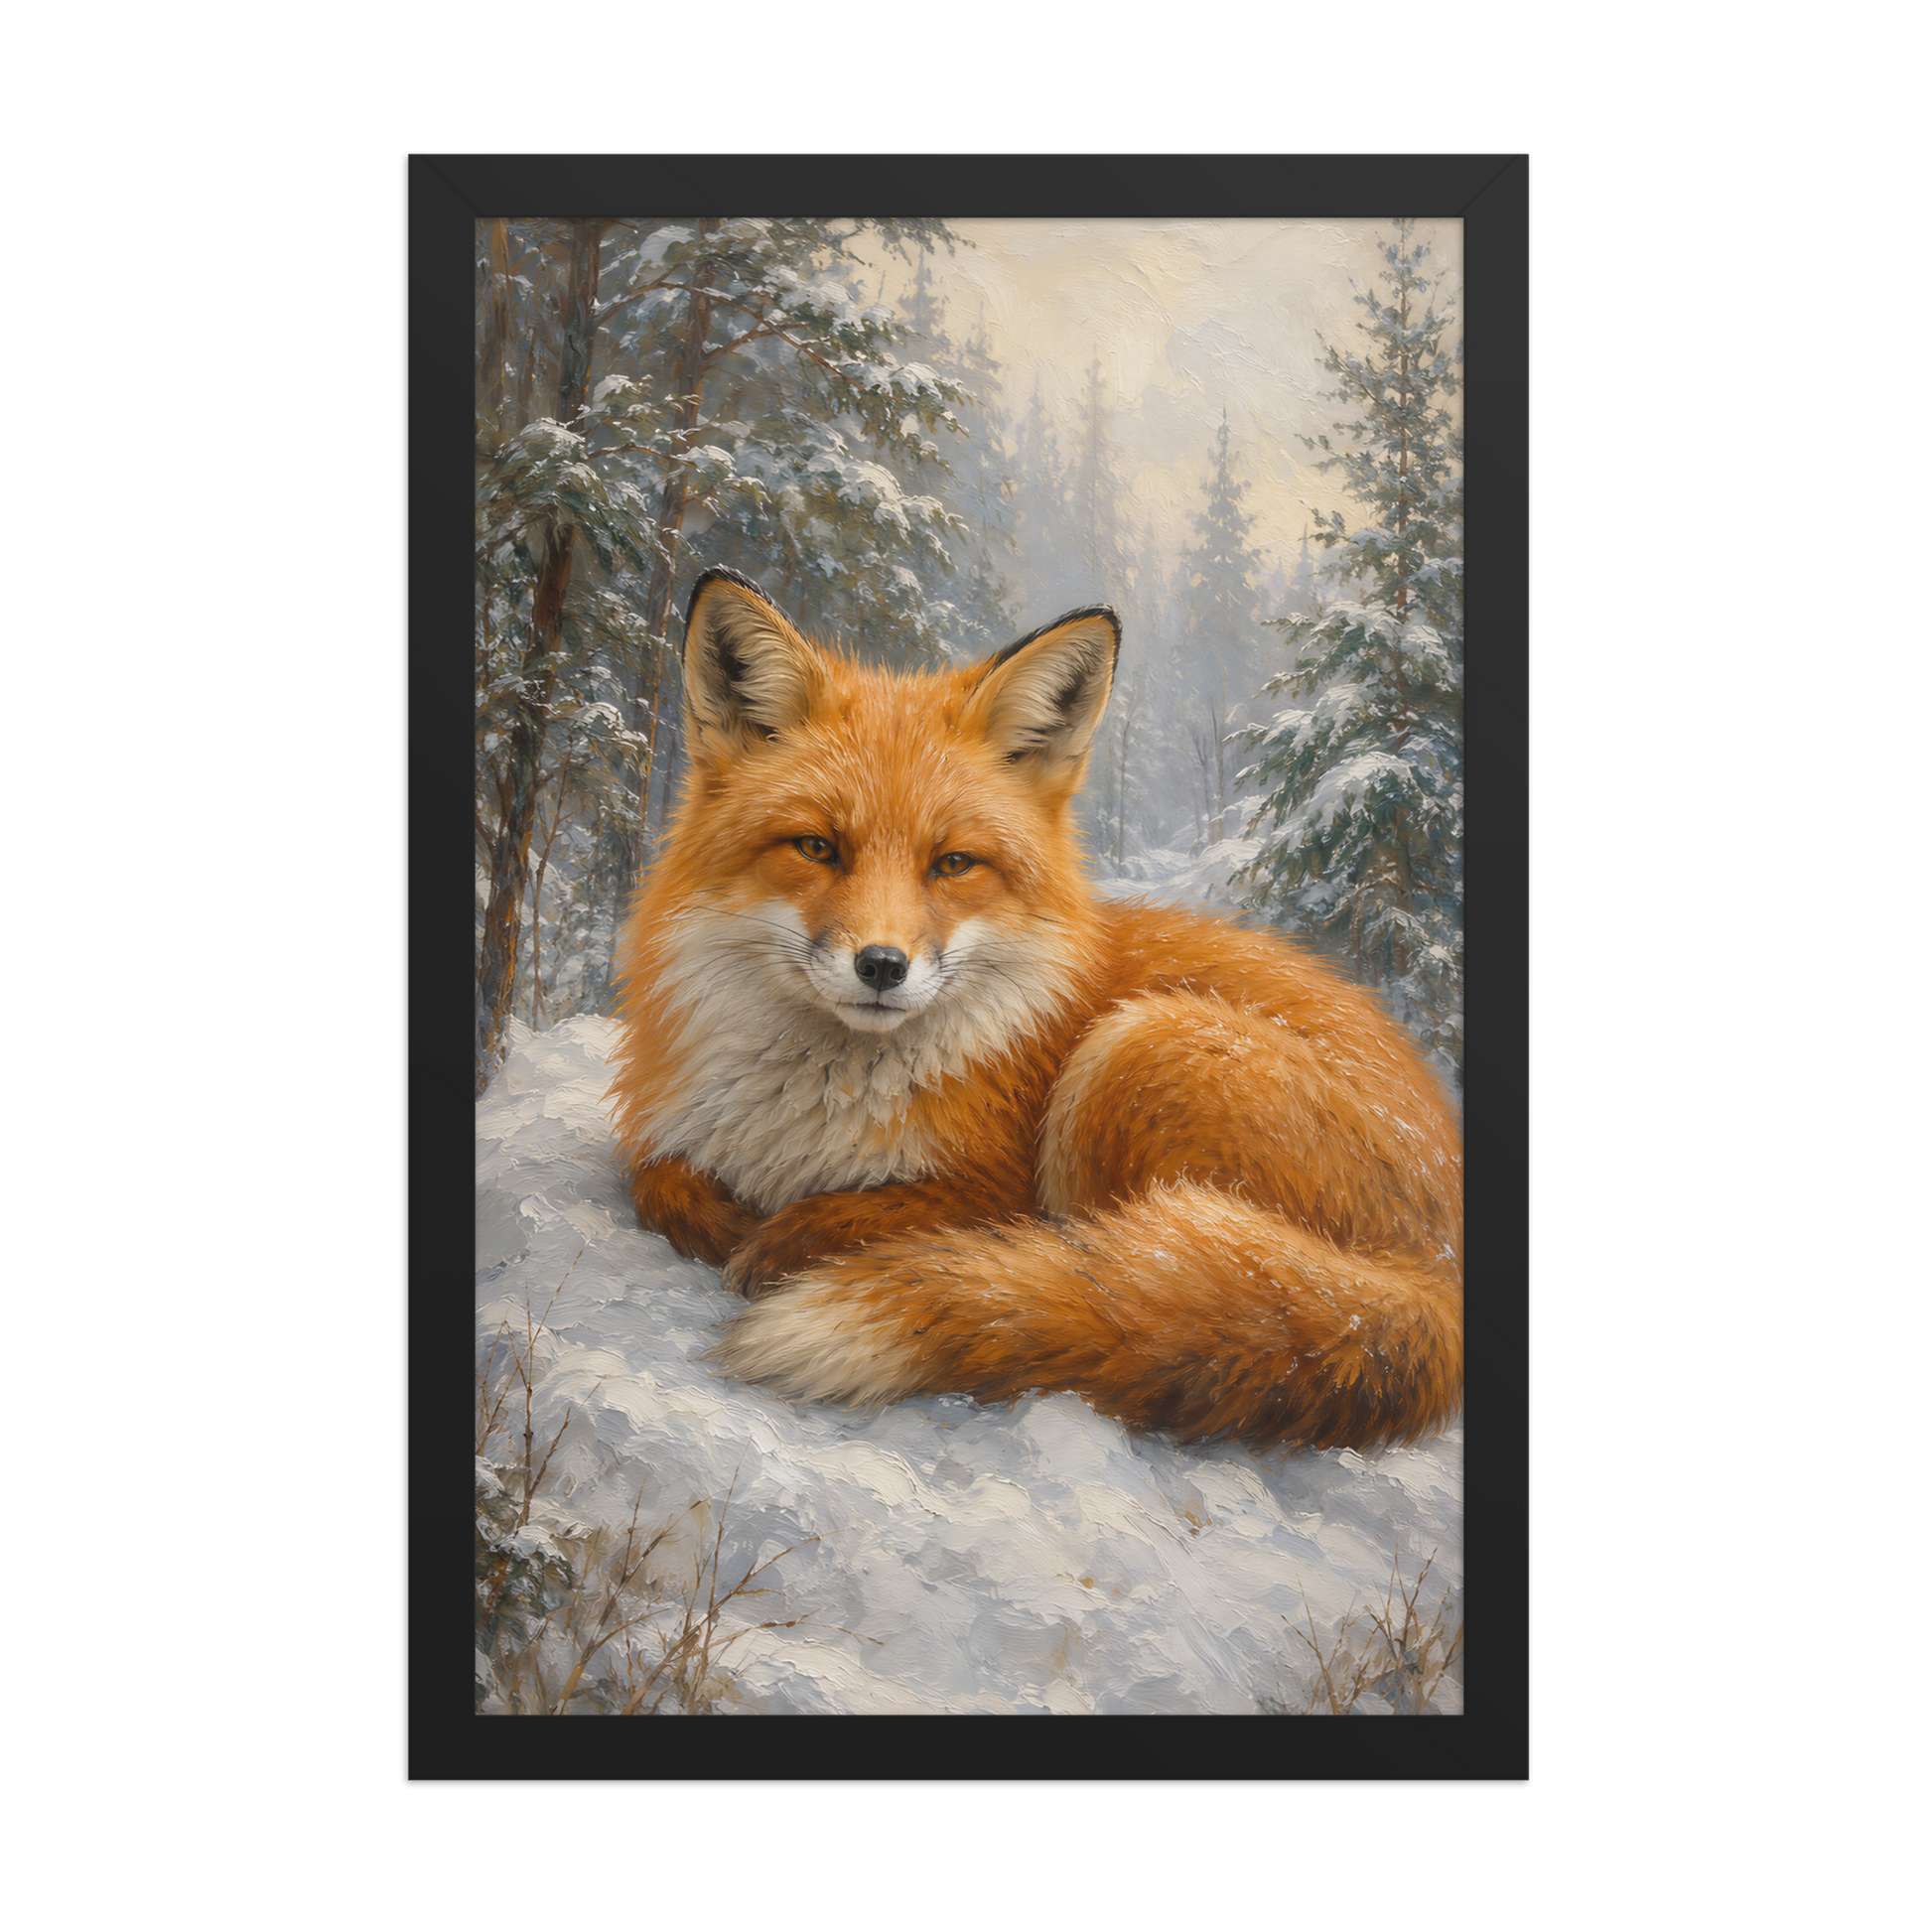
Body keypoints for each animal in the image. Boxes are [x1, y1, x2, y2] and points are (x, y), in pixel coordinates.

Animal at [605, 567, 1462, 1453]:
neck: (808, 1114)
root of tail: (1438, 1270)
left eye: (953, 864)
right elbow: (656, 1179)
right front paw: (722, 1220)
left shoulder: (995, 1185)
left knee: (1122, 1272)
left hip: (1137, 1048)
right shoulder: (671, 1134)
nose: (882, 966)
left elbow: (885, 1213)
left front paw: (787, 1239)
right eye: (817, 848)